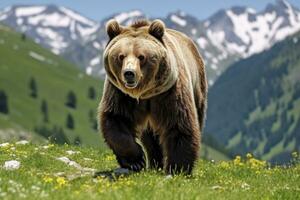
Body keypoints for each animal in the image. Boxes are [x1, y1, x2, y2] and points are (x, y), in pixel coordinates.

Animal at [98, 19, 206, 175]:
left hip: (198, 85)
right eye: (121, 56)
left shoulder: (169, 92)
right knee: (150, 137)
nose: (129, 73)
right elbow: (116, 119)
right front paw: (136, 161)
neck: (144, 93)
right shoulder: (120, 94)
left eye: (141, 56)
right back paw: (155, 163)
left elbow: (179, 124)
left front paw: (178, 168)